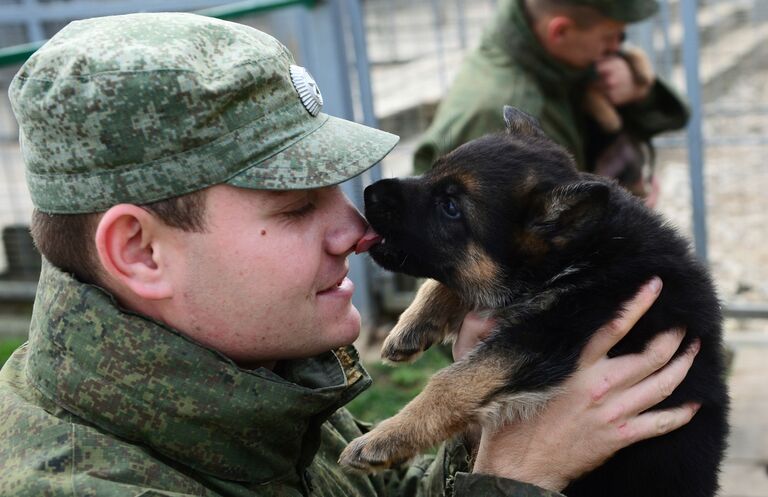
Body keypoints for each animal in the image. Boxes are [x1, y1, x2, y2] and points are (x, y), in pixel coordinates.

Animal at [340, 106, 728, 494]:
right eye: (431, 172)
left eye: (450, 207)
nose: (369, 192)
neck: (583, 251)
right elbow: (447, 283)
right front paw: (411, 324)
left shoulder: (550, 331)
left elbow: (452, 381)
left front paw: (385, 438)